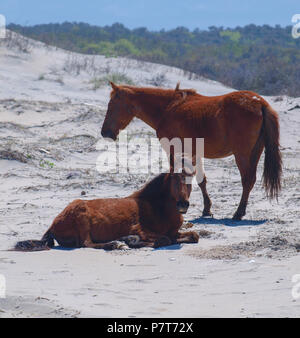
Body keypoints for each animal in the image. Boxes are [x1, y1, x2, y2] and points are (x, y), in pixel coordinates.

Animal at [14, 172, 198, 251]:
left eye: (190, 181)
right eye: (174, 180)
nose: (183, 204)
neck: (156, 206)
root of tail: (53, 224)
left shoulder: (174, 232)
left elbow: (194, 236)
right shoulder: (140, 229)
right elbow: (164, 239)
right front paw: (130, 240)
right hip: (81, 216)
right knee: (86, 244)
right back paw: (115, 244)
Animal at [101, 83, 282, 220]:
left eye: (111, 106)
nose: (105, 133)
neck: (169, 107)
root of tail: (260, 103)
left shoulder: (172, 151)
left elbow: (176, 175)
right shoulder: (196, 153)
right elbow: (201, 180)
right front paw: (207, 209)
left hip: (242, 155)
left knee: (247, 180)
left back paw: (238, 213)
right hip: (256, 152)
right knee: (250, 180)